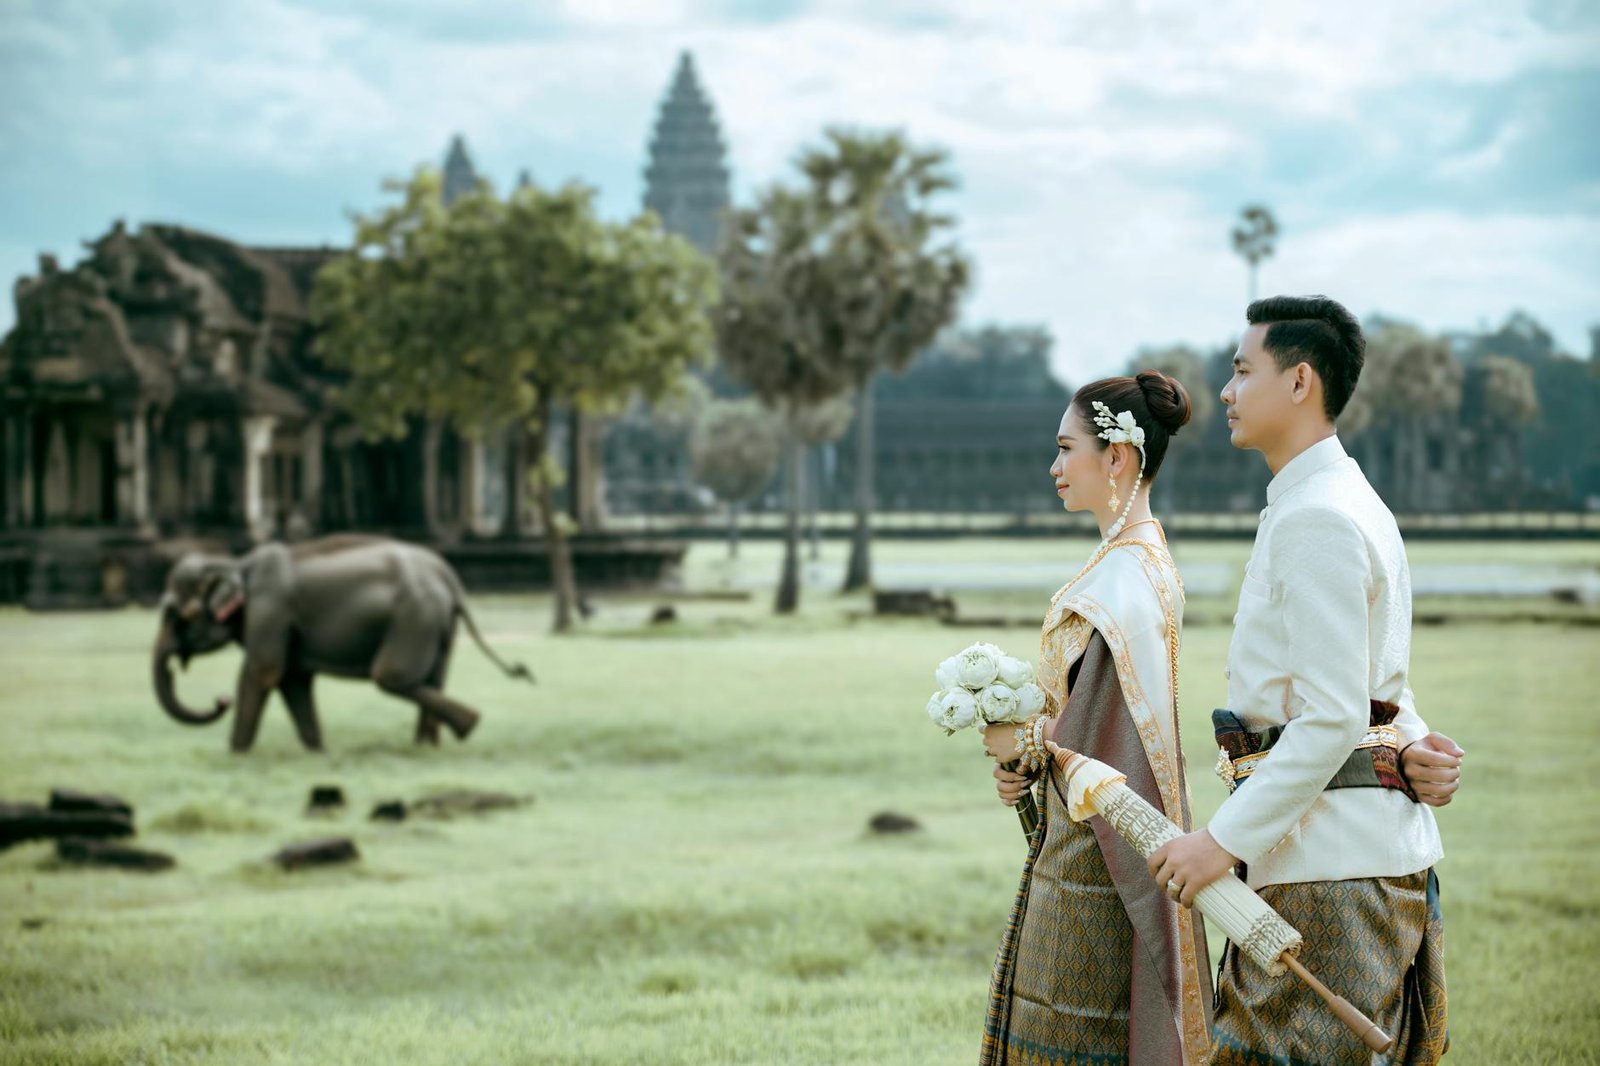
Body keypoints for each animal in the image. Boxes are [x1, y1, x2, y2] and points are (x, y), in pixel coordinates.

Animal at [152, 528, 534, 745]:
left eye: (173, 614)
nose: (220, 700)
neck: (237, 563)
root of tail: (449, 578)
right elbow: (293, 681)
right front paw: (317, 751)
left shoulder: (271, 610)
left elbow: (263, 672)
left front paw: (237, 755)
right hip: (437, 625)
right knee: (430, 680)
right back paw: (433, 744)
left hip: (414, 618)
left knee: (392, 677)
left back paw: (467, 726)